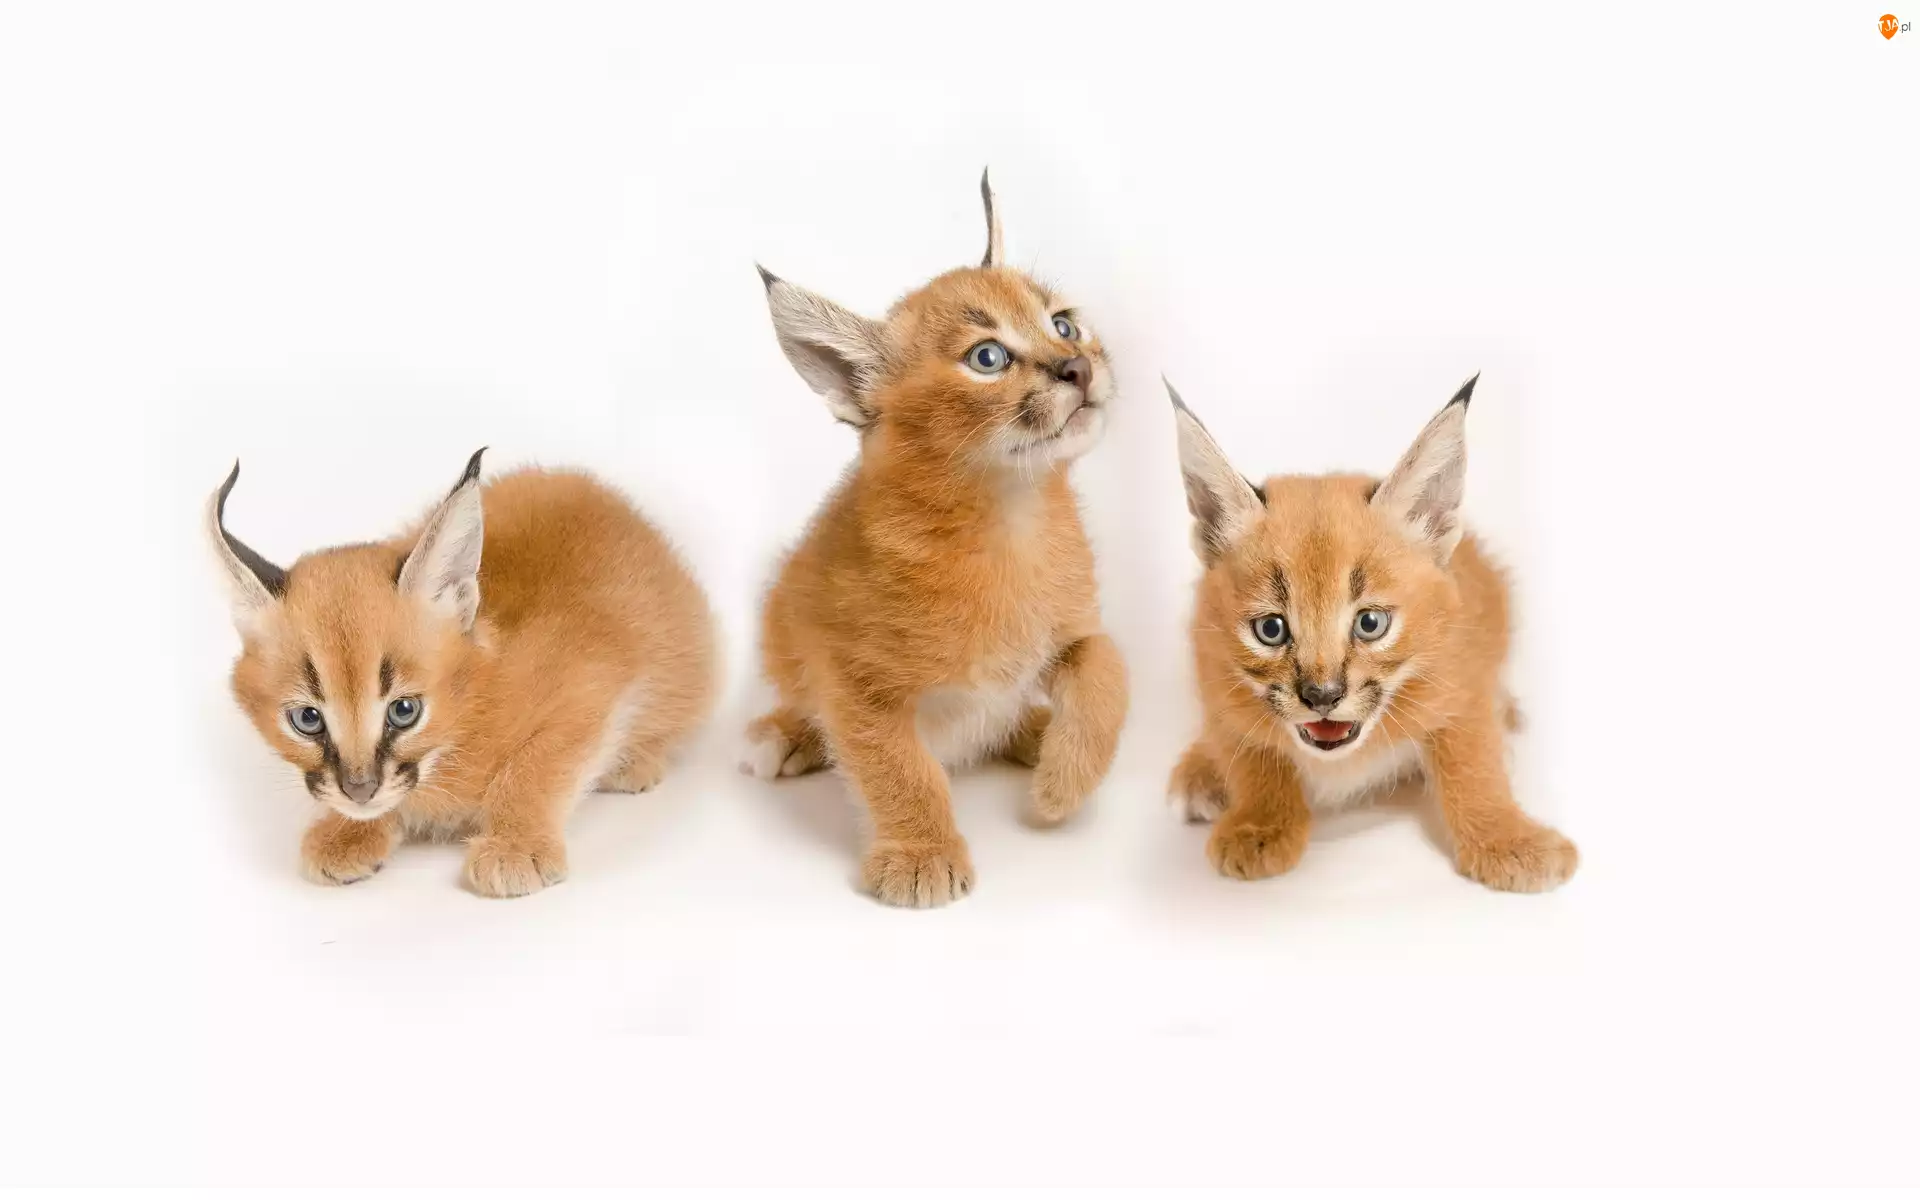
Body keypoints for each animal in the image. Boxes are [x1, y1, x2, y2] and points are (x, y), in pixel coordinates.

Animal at [209, 451, 716, 897]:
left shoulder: (591, 684)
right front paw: (349, 830)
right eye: (306, 719)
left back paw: (634, 763)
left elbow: (537, 763)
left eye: (405, 711)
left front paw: (516, 846)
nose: (359, 790)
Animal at [743, 172, 1129, 907]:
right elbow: (896, 766)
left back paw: (1036, 733)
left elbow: (1106, 670)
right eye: (988, 358)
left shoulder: (1076, 627)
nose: (1077, 366)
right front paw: (921, 854)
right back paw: (785, 735)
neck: (1009, 520)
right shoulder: (855, 680)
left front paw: (1063, 785)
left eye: (1063, 324)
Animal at [1166, 376, 1577, 892]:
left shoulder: (1463, 677)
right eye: (1270, 629)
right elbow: (1250, 751)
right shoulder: (1213, 669)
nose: (1322, 696)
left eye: (1370, 623)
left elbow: (1471, 761)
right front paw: (1260, 826)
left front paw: (1507, 841)